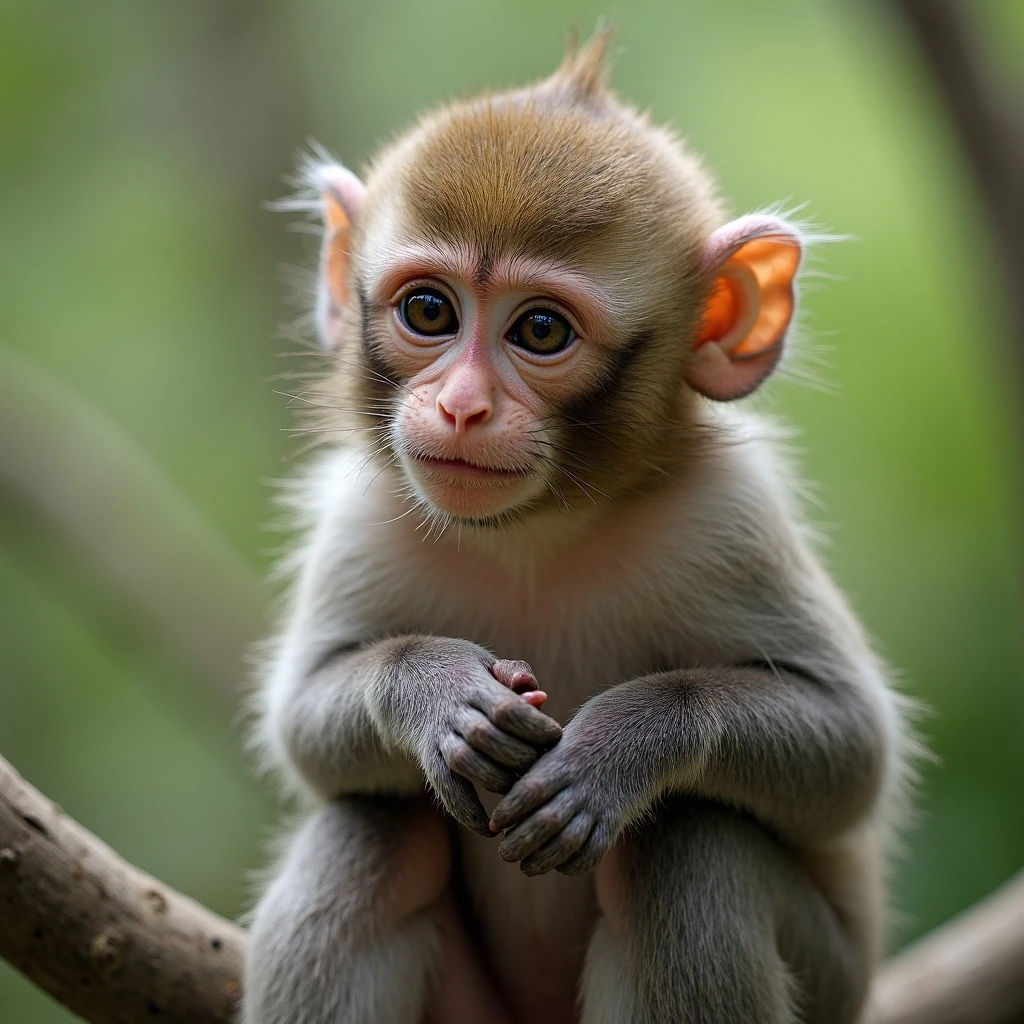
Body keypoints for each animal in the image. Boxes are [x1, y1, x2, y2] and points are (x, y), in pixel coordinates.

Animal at [243, 29, 909, 1024]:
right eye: (429, 310)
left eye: (541, 331)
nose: (462, 408)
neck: (537, 533)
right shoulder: (361, 522)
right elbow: (304, 729)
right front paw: (437, 693)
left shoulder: (732, 517)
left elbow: (852, 751)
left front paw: (623, 746)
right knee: (372, 833)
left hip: (829, 977)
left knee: (685, 848)